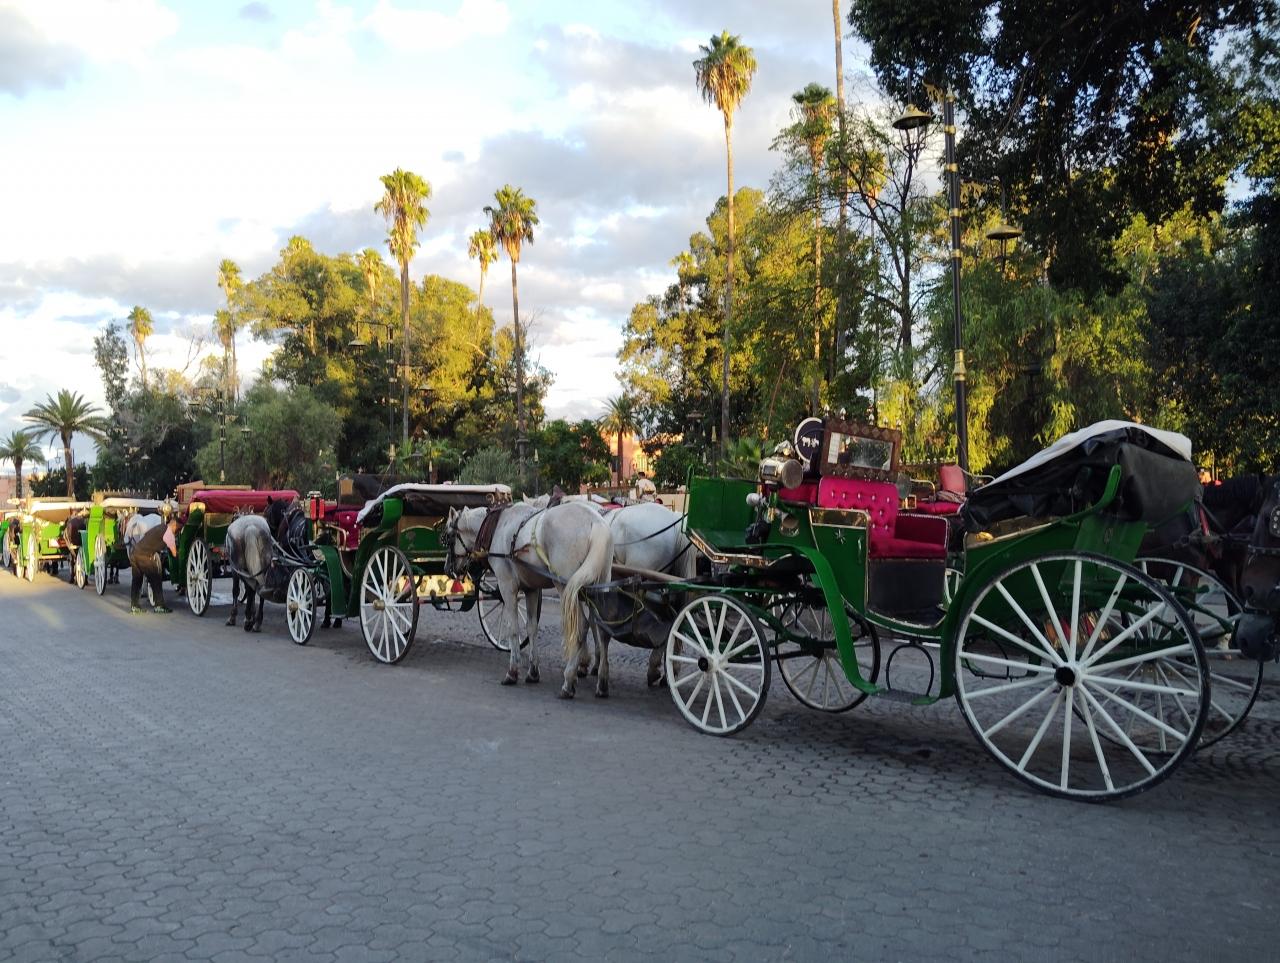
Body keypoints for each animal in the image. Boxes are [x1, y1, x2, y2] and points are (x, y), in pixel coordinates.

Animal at [444, 500, 613, 698]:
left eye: (449, 536)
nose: (447, 568)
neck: (497, 527)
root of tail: (596, 523)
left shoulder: (507, 586)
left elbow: (513, 629)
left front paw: (512, 671)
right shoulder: (531, 590)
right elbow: (532, 627)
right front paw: (533, 671)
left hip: (566, 586)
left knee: (580, 626)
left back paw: (569, 681)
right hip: (601, 585)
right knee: (602, 629)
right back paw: (602, 681)